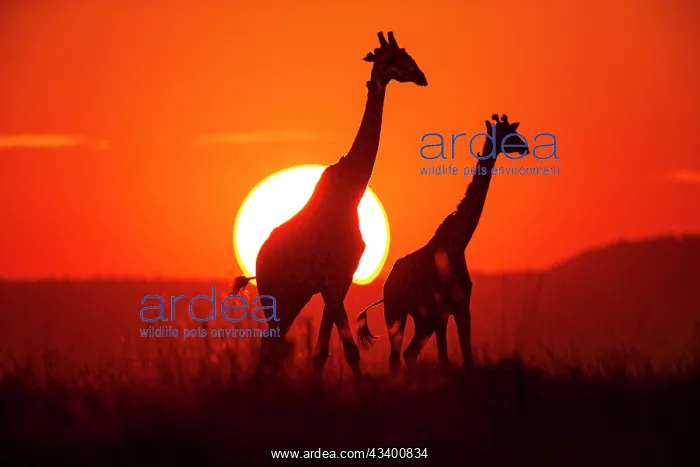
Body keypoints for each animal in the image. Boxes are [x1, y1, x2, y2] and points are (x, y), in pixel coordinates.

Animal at [233, 31, 428, 379]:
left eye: (409, 55)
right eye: (394, 59)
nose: (422, 77)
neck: (352, 191)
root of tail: (256, 266)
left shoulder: (341, 280)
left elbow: (322, 352)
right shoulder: (332, 280)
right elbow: (350, 351)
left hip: (292, 298)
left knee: (270, 351)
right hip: (277, 299)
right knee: (269, 352)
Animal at [357, 114, 528, 374]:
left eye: (513, 131)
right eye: (507, 134)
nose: (524, 147)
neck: (458, 243)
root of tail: (386, 285)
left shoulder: (453, 308)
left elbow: (459, 357)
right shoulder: (450, 309)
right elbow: (454, 358)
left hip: (420, 319)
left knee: (408, 354)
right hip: (396, 313)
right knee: (396, 358)